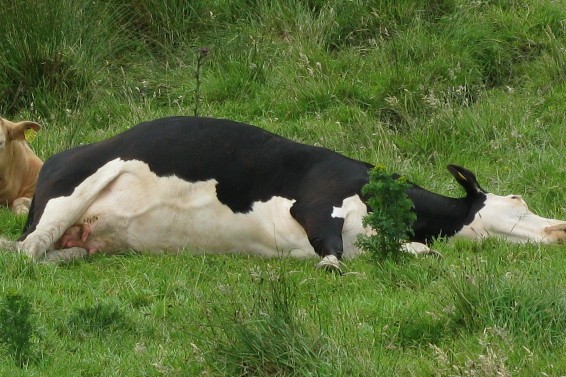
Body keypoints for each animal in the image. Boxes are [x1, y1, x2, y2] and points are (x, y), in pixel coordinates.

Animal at [4, 116, 566, 266]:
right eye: (518, 201)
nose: (560, 228)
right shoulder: (317, 201)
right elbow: (330, 247)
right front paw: (331, 266)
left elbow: (419, 252)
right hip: (70, 192)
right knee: (25, 251)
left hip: (83, 232)